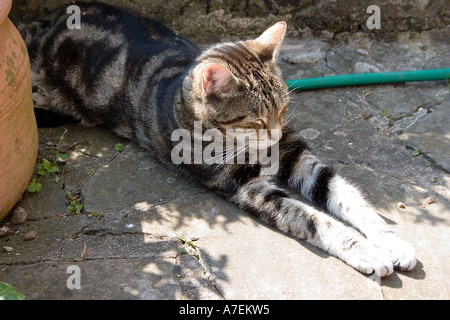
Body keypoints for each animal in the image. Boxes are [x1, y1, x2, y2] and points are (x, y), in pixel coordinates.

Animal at [19, 1, 416, 278]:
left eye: (284, 109)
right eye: (256, 120)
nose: (272, 134)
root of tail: (47, 20)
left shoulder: (294, 153)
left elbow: (346, 196)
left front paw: (390, 241)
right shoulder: (243, 184)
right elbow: (311, 218)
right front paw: (366, 252)